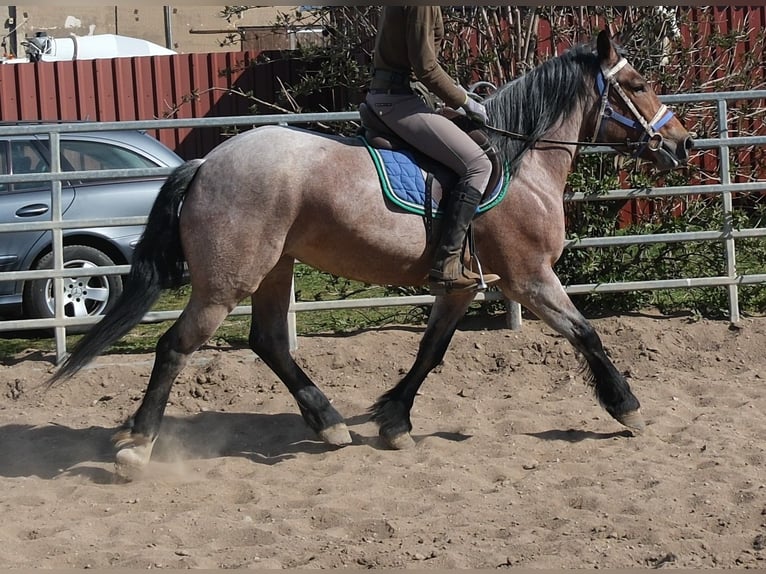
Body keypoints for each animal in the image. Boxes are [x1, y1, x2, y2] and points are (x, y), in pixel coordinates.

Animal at [50, 30, 693, 479]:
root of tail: (207, 162)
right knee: (176, 347)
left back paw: (330, 424)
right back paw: (139, 446)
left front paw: (394, 421)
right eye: (638, 83)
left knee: (269, 341)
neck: (522, 164)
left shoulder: (461, 285)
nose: (682, 143)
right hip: (225, 283)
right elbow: (586, 333)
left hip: (275, 269)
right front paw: (627, 407)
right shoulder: (530, 278)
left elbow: (431, 352)